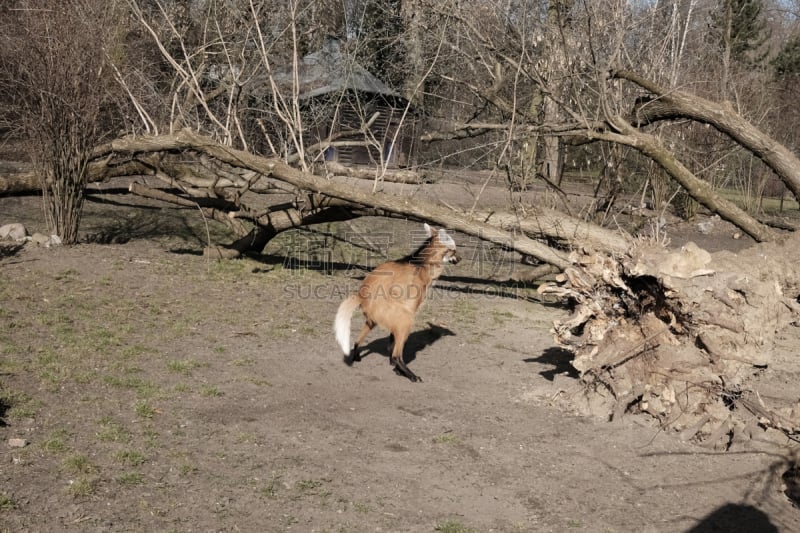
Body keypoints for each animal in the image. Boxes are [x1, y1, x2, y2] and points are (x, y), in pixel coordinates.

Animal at [332, 222, 460, 380]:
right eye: (453, 251)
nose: (460, 258)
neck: (422, 264)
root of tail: (361, 294)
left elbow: (390, 342)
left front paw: (392, 365)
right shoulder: (409, 307)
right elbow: (393, 346)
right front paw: (396, 367)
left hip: (373, 320)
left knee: (357, 341)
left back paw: (357, 356)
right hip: (405, 319)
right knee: (397, 354)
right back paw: (411, 375)